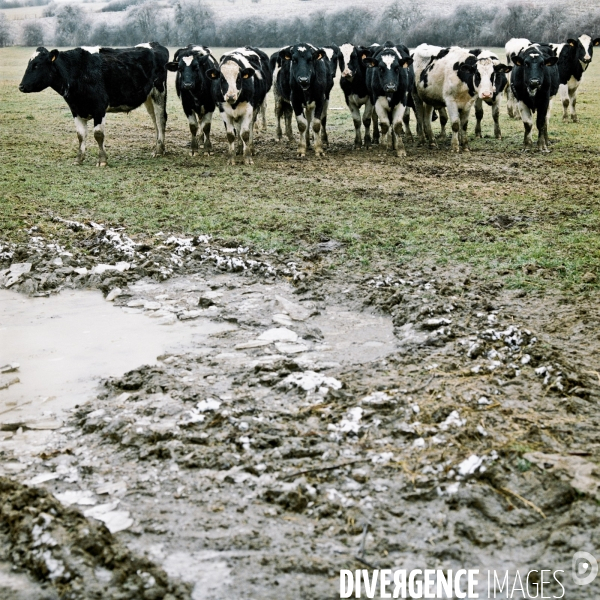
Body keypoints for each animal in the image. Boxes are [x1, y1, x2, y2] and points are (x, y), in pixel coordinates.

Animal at [18, 42, 169, 165]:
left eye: (37, 65)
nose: (21, 86)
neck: (77, 71)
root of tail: (155, 44)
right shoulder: (75, 109)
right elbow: (80, 135)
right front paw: (79, 159)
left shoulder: (99, 108)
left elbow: (98, 134)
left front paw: (102, 160)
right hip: (148, 97)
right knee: (154, 120)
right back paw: (157, 146)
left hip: (159, 91)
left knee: (160, 119)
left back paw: (159, 150)